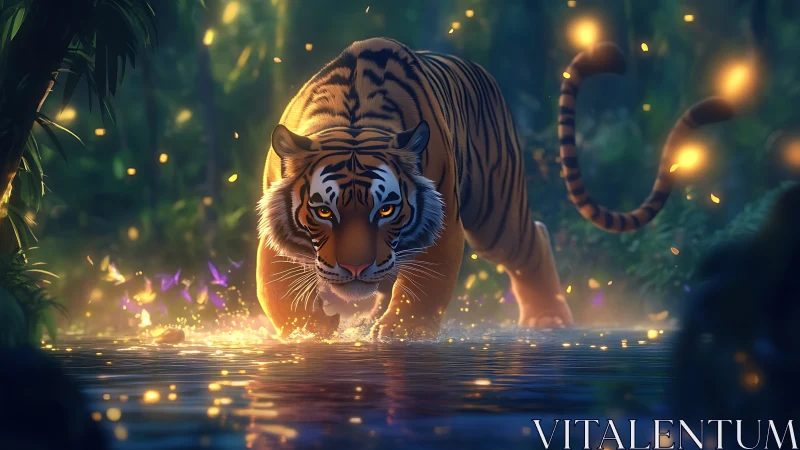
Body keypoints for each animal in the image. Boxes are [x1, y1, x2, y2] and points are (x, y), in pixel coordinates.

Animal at [256, 38, 735, 340]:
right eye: (324, 211)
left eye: (387, 210)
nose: (355, 269)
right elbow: (274, 284)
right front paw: (305, 329)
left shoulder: (444, 228)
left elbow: (425, 288)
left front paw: (400, 332)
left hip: (495, 212)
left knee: (532, 241)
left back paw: (547, 318)